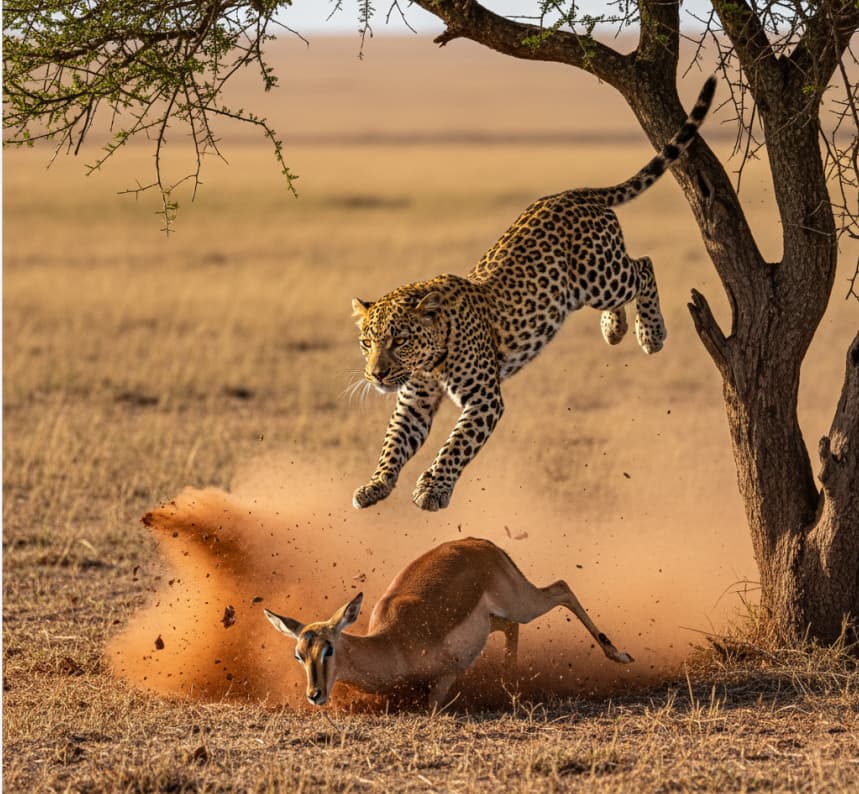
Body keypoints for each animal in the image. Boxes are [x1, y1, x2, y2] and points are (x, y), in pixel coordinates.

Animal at [351, 77, 716, 512]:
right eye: (367, 343)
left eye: (400, 341)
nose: (375, 374)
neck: (431, 361)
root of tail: (574, 193)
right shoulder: (414, 402)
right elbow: (392, 444)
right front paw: (375, 485)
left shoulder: (484, 399)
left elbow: (455, 445)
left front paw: (433, 489)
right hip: (590, 286)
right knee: (627, 283)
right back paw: (614, 329)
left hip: (600, 276)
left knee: (643, 265)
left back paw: (651, 334)